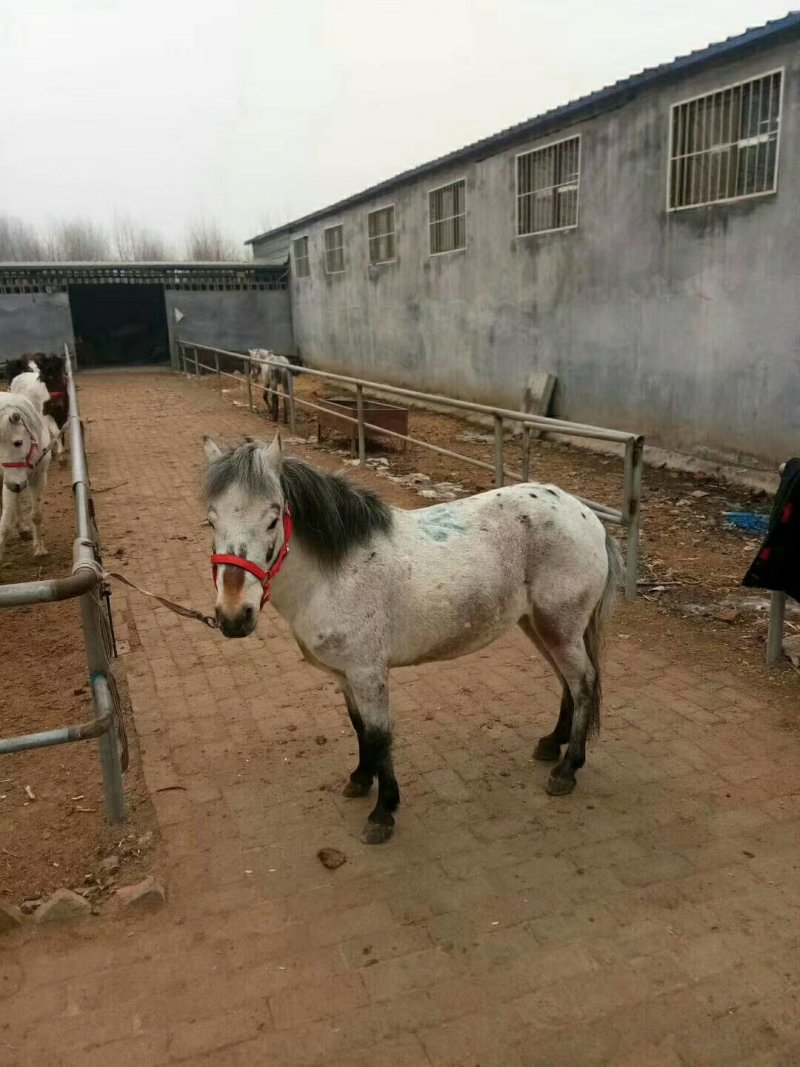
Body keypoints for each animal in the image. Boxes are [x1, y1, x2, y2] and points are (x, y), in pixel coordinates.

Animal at [0, 393, 53, 561]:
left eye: (18, 442)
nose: (14, 485)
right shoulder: (8, 480)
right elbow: (4, 524)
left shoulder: (38, 477)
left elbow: (36, 515)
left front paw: (39, 548)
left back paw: (23, 529)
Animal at [201, 433, 622, 844]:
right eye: (210, 522)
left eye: (273, 520)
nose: (234, 616)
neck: (336, 573)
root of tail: (588, 518)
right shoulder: (345, 675)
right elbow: (359, 727)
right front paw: (360, 779)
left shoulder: (369, 673)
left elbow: (379, 735)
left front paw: (383, 813)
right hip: (539, 626)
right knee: (568, 681)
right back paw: (552, 744)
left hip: (558, 627)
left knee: (583, 683)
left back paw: (567, 769)